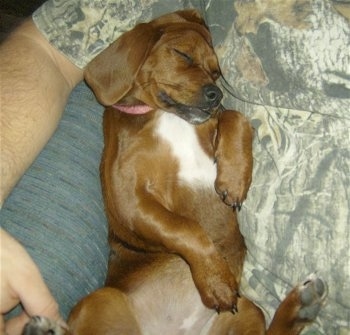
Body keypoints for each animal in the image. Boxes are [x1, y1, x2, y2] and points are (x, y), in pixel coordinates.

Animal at [23, 9, 326, 335]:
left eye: (216, 72)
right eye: (183, 55)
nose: (216, 95)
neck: (165, 115)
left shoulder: (214, 126)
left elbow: (236, 116)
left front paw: (234, 178)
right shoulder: (130, 201)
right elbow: (186, 229)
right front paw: (216, 280)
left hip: (248, 311)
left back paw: (302, 306)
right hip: (100, 300)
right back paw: (40, 328)